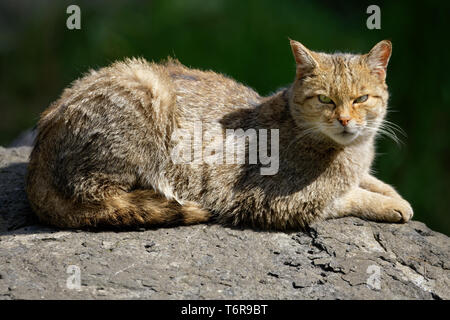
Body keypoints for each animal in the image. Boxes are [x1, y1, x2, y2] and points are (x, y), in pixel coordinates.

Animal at [23, 39, 412, 230]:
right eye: (325, 99)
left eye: (361, 99)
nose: (345, 120)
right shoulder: (278, 202)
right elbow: (349, 197)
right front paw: (392, 204)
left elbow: (369, 181)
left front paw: (391, 192)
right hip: (145, 89)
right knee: (100, 200)